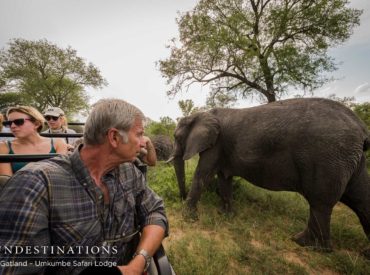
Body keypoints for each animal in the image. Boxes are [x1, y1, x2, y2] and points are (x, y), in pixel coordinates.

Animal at [172, 98, 370, 253]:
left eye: (176, 137)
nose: (180, 197)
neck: (201, 113)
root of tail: (361, 127)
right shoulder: (221, 148)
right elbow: (224, 179)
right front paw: (226, 216)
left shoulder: (215, 145)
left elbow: (202, 175)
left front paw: (188, 218)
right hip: (347, 157)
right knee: (361, 198)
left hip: (327, 156)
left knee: (320, 202)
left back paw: (303, 244)